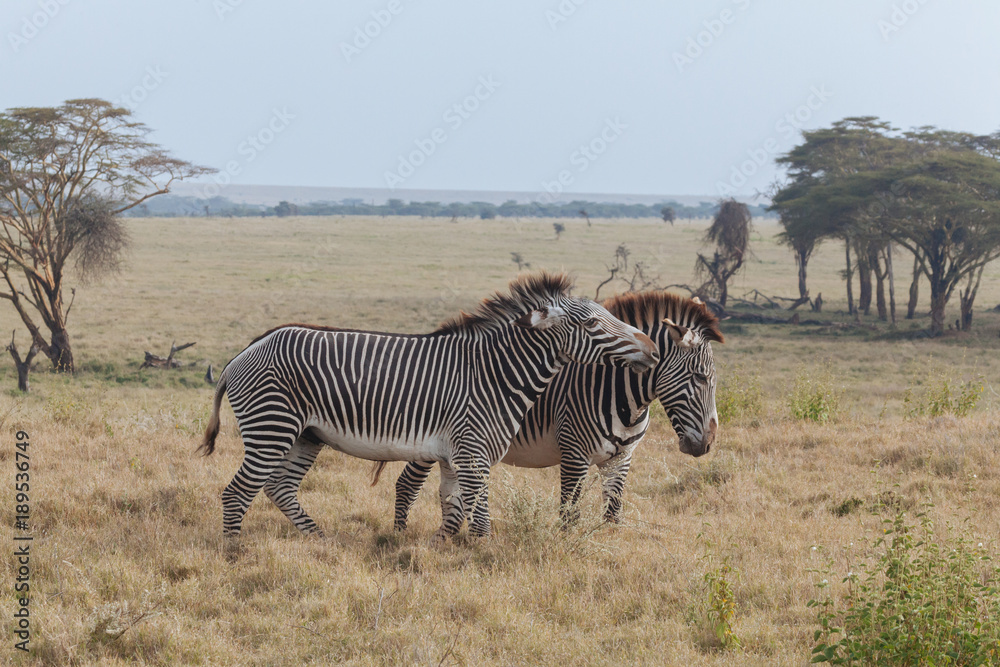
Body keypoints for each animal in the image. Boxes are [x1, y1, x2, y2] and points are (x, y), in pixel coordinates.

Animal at [199, 273, 659, 541]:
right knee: (237, 491)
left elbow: (454, 510)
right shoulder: (474, 454)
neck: (496, 373)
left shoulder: (456, 456)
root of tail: (243, 353)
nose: (653, 349)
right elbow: (480, 515)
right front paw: (483, 558)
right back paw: (234, 552)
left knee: (279, 487)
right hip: (271, 428)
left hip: (305, 435)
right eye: (592, 324)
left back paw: (317, 538)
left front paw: (440, 550)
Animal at [381, 291, 724, 531]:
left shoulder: (622, 459)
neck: (621, 395)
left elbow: (613, 514)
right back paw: (400, 536)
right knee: (407, 484)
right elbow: (569, 515)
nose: (707, 444)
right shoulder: (574, 454)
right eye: (700, 378)